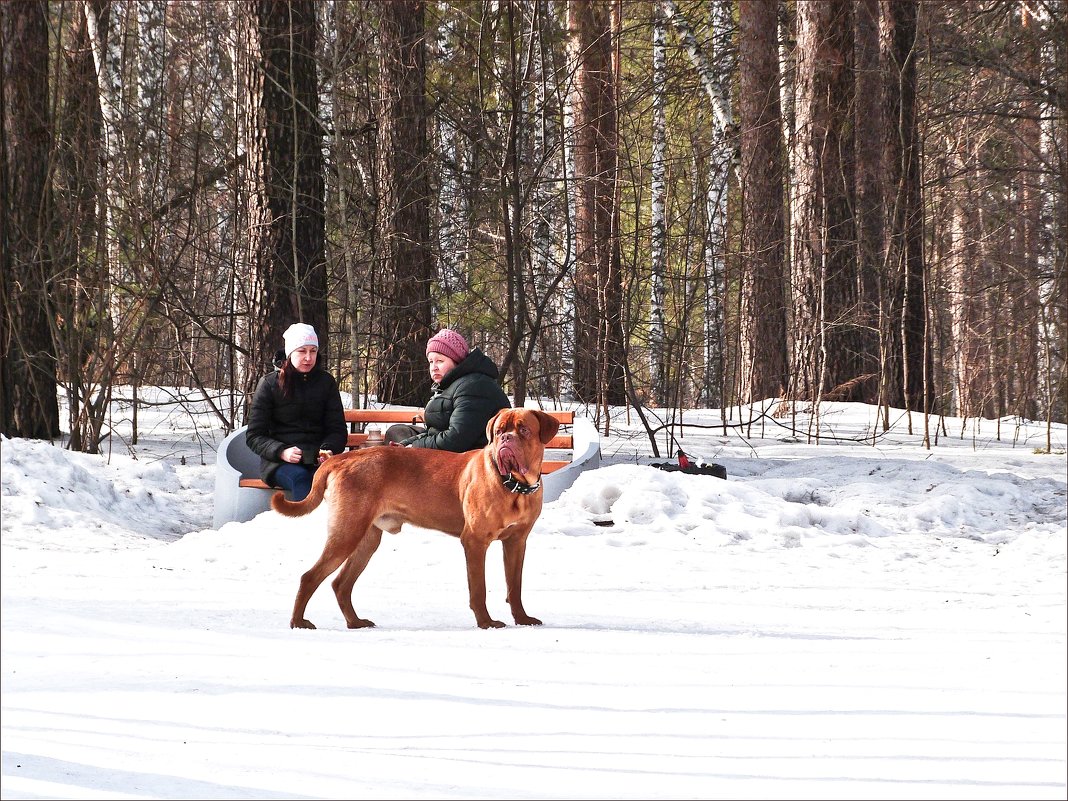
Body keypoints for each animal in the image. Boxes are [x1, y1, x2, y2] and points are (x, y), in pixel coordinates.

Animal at [271, 410, 563, 632]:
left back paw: (355, 622)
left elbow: (515, 585)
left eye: (523, 429)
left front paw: (522, 619)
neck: (515, 486)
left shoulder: (516, 542)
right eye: (500, 430)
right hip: (346, 533)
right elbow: (478, 588)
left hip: (367, 539)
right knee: (310, 577)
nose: (505, 439)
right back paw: (299, 622)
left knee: (340, 584)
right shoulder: (475, 541)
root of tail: (343, 457)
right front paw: (486, 622)